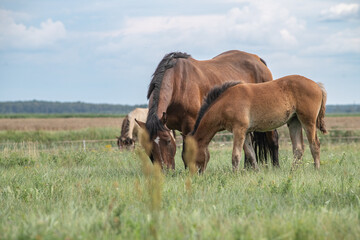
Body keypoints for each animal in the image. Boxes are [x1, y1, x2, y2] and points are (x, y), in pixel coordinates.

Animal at [136, 49, 280, 169]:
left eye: (167, 141)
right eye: (148, 146)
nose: (165, 170)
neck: (179, 82)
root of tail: (258, 60)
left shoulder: (189, 125)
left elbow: (187, 152)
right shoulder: (169, 124)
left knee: (273, 139)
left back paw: (276, 166)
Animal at [187, 75, 328, 172]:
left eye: (189, 156)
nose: (195, 174)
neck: (225, 102)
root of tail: (316, 85)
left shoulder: (239, 130)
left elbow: (236, 155)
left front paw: (234, 174)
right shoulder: (245, 132)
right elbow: (250, 154)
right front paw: (257, 172)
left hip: (308, 122)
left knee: (315, 145)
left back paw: (316, 169)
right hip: (294, 122)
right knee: (298, 149)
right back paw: (292, 171)